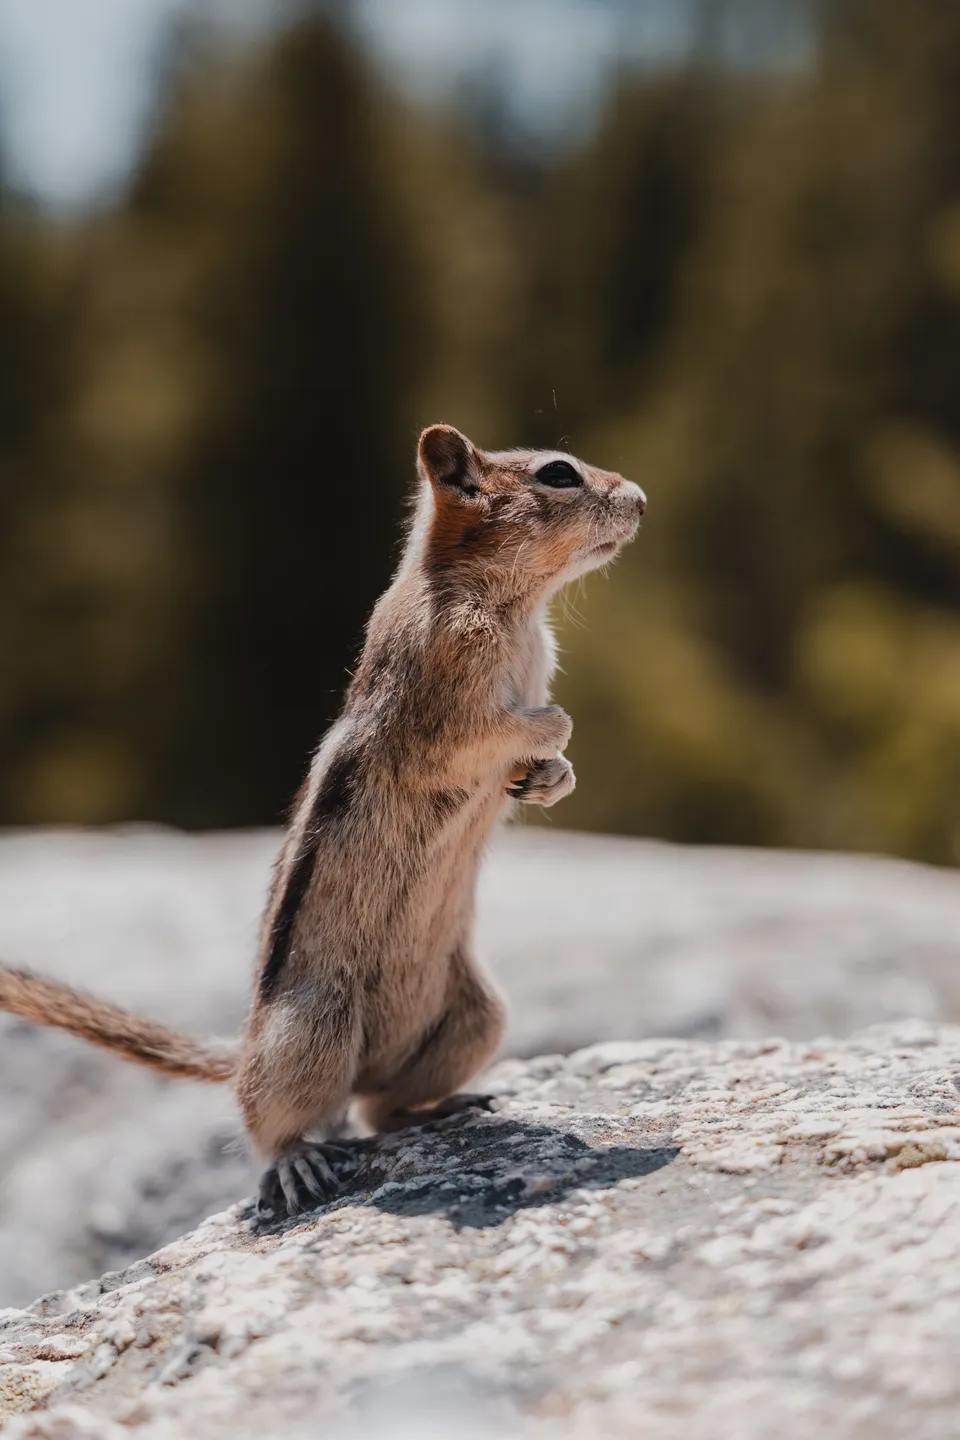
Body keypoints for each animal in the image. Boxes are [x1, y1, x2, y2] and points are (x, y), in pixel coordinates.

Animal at [0, 425, 645, 1217]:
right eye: (558, 475)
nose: (640, 500)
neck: (516, 608)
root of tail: (245, 1048)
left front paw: (551, 780)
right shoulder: (438, 694)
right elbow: (486, 734)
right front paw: (551, 730)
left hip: (476, 1014)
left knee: (378, 1109)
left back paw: (451, 1105)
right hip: (312, 1030)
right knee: (278, 1119)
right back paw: (296, 1163)